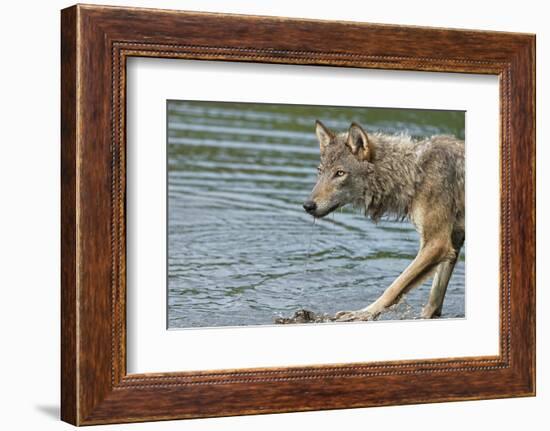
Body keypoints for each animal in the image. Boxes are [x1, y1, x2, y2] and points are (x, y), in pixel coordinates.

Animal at [304, 121, 468, 320]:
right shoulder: (453, 242)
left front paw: (363, 313)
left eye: (340, 173)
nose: (307, 205)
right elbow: (434, 299)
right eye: (320, 172)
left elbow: (395, 286)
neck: (414, 174)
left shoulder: (437, 243)